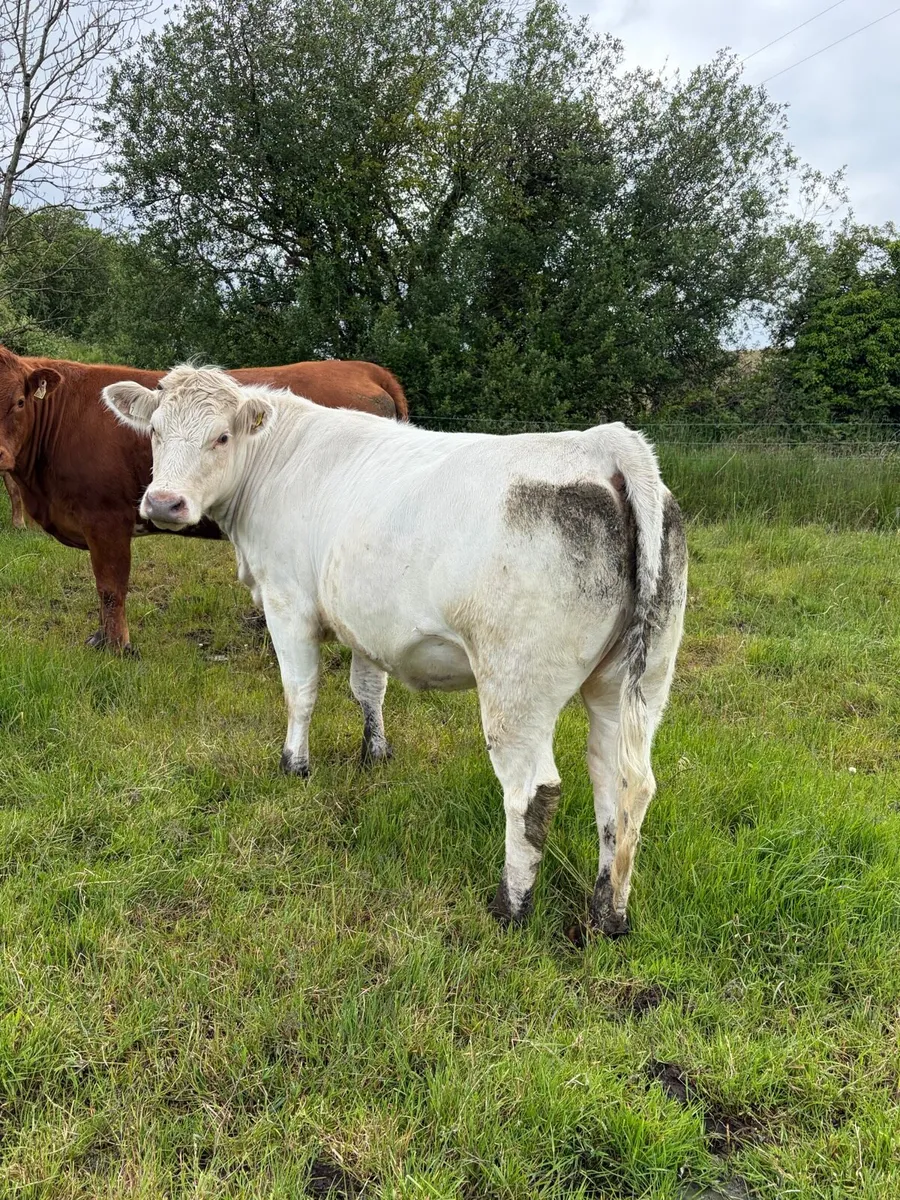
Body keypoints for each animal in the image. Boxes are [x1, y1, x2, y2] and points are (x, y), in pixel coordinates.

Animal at [0, 345, 408, 652]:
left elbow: (110, 588)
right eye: (153, 430)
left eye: (19, 402)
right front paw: (101, 640)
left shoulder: (106, 521)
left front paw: (116, 649)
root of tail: (364, 368)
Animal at [103, 365, 687, 936]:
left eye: (221, 436)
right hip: (638, 680)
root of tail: (599, 443)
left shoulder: (287, 602)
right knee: (622, 781)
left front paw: (294, 765)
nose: (164, 502)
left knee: (533, 791)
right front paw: (374, 753)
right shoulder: (367, 618)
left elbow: (300, 691)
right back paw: (608, 914)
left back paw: (511, 908)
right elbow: (368, 687)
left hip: (517, 685)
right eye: (155, 431)